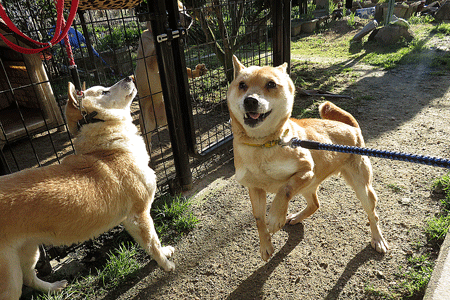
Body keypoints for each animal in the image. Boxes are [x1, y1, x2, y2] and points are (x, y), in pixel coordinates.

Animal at [0, 76, 175, 298]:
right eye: (104, 91)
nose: (129, 77)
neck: (108, 149)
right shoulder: (139, 215)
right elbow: (153, 242)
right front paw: (165, 264)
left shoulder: (129, 220)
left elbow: (153, 243)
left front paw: (165, 253)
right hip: (10, 277)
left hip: (28, 249)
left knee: (30, 278)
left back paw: (53, 287)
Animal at [227, 55, 388, 260]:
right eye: (242, 85)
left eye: (271, 84)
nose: (250, 101)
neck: (262, 144)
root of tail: (352, 127)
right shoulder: (255, 188)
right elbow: (258, 219)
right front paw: (265, 245)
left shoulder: (306, 171)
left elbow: (284, 191)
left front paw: (275, 218)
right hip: (309, 186)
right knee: (315, 205)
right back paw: (296, 217)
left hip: (361, 188)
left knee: (373, 215)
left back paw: (378, 239)